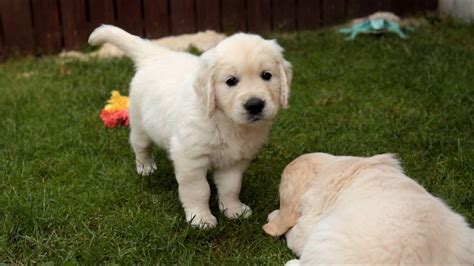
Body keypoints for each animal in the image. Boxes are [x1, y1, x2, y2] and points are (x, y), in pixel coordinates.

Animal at [87, 25, 290, 229]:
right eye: (231, 81)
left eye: (266, 75)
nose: (255, 105)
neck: (226, 121)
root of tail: (155, 55)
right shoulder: (190, 158)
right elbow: (198, 190)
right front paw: (201, 218)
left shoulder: (235, 161)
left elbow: (231, 187)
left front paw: (234, 210)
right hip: (139, 125)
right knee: (141, 148)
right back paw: (146, 168)